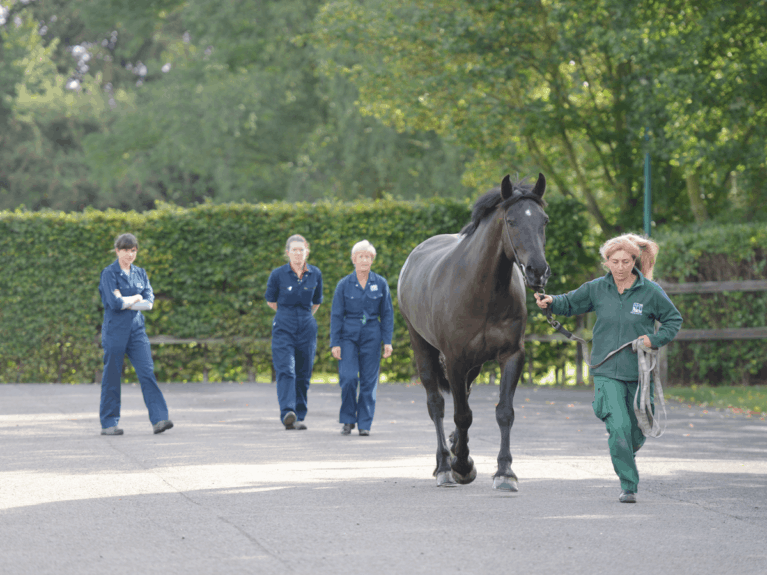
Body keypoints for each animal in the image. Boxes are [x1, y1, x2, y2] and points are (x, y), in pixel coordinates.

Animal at [396, 172, 552, 490]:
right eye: (511, 221)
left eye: (544, 221)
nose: (538, 271)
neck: (483, 291)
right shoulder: (455, 360)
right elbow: (462, 415)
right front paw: (462, 466)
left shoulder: (511, 356)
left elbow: (504, 412)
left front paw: (505, 472)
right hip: (423, 347)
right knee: (437, 405)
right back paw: (445, 465)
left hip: (474, 365)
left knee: (463, 397)